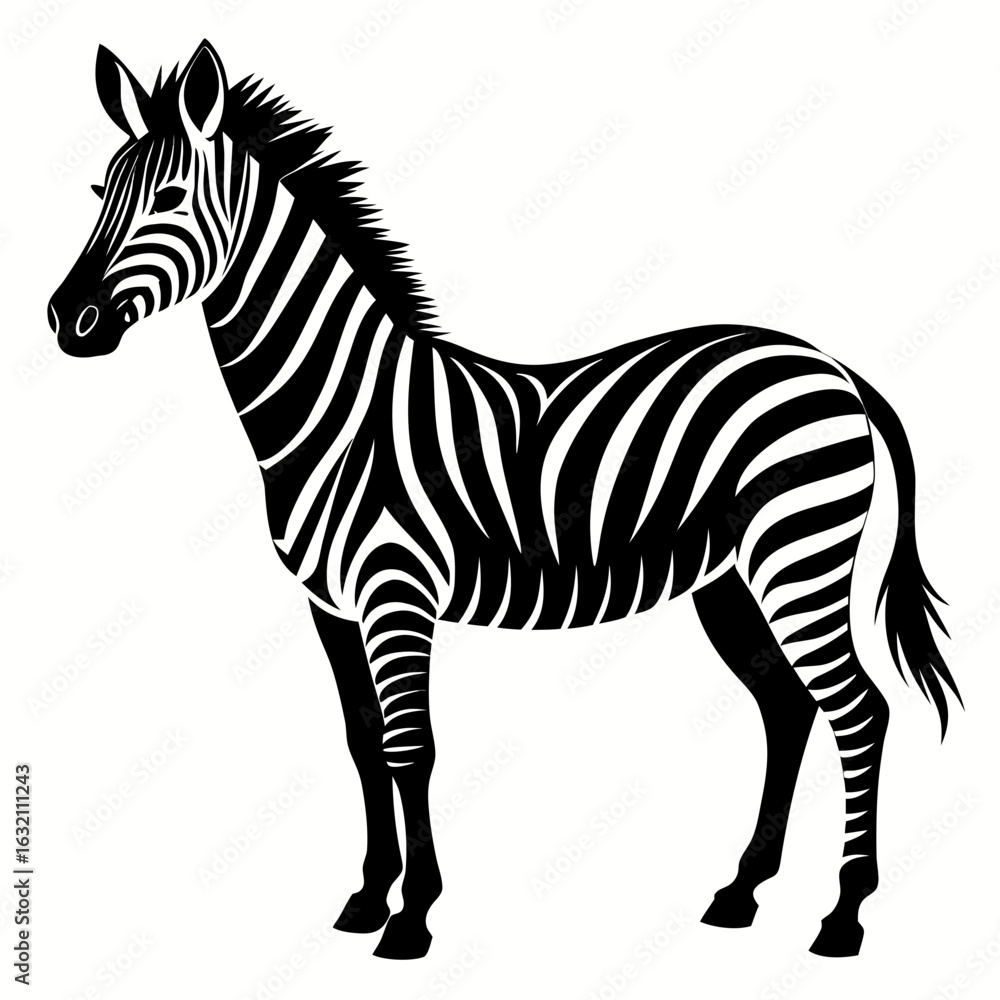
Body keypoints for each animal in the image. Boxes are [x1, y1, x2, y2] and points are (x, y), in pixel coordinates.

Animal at [47, 40, 961, 961]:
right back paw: (741, 892)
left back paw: (842, 916)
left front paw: (411, 918)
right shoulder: (330, 604)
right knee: (788, 705)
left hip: (798, 553)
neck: (340, 407)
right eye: (98, 193)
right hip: (732, 577)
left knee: (859, 710)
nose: (67, 321)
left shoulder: (396, 590)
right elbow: (362, 743)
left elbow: (410, 748)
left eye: (168, 197)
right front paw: (366, 898)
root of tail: (831, 366)